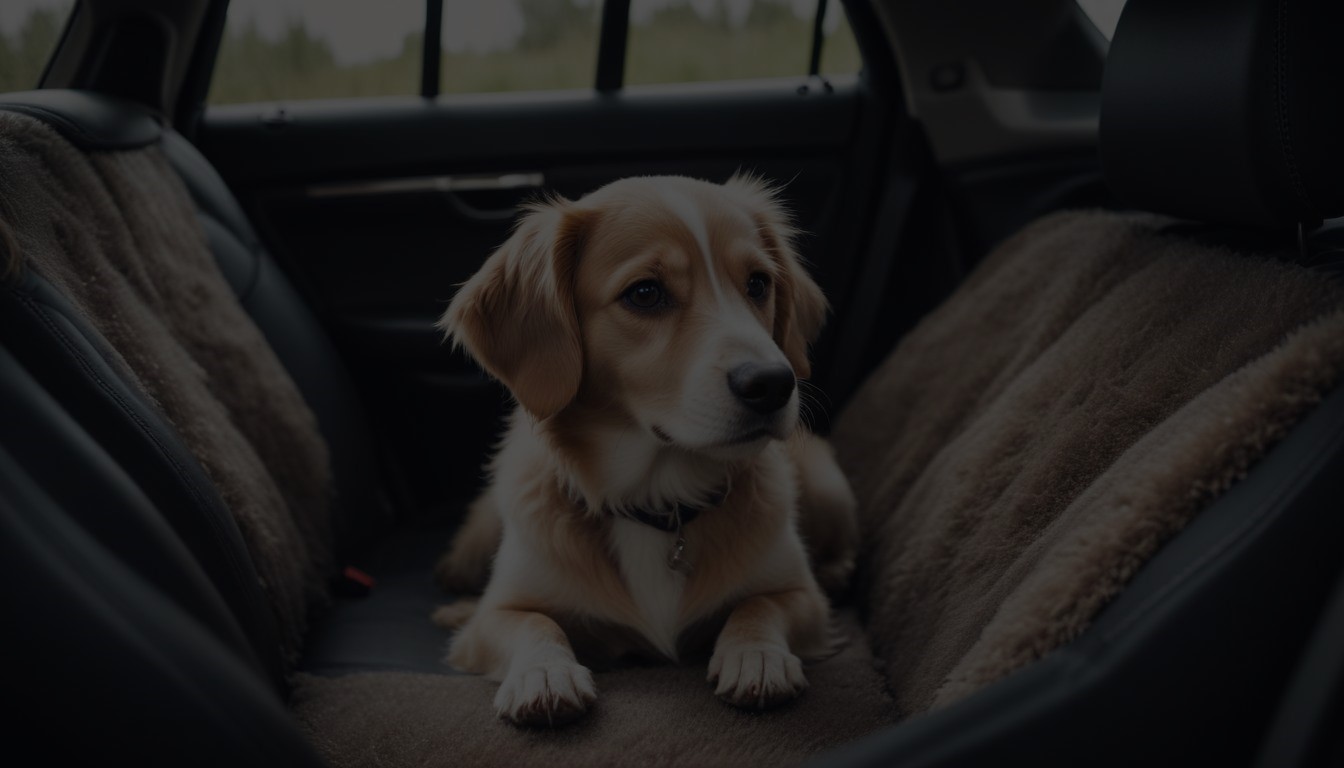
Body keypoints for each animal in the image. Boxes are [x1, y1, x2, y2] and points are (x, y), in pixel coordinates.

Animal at [432, 172, 860, 726]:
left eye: (758, 284)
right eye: (645, 293)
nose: (773, 384)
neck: (657, 497)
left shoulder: (801, 597)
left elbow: (759, 605)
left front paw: (756, 656)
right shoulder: (499, 614)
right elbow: (535, 623)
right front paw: (543, 673)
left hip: (827, 485)